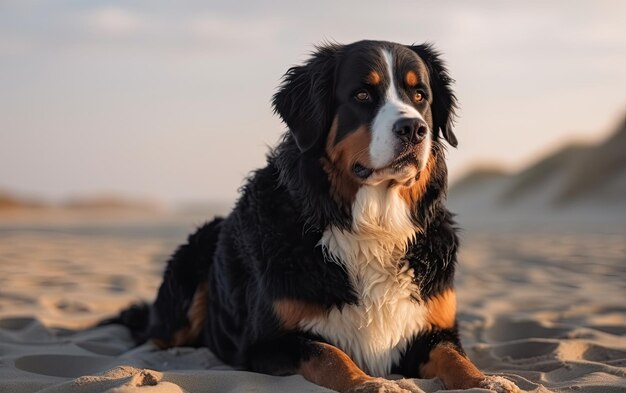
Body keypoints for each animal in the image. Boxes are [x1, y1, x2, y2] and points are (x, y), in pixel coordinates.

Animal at [106, 40, 516, 392]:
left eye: (420, 96)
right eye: (362, 94)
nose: (415, 128)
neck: (372, 225)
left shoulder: (432, 329)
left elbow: (454, 358)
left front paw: (488, 381)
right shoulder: (266, 341)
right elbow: (327, 354)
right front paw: (369, 384)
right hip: (191, 266)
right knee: (153, 334)